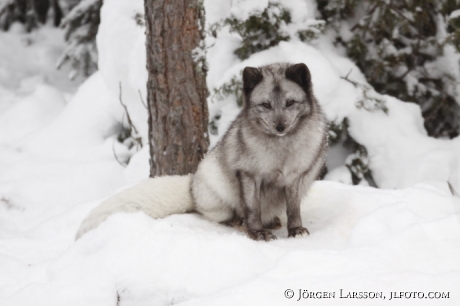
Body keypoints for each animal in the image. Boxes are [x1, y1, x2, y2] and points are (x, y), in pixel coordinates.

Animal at [76, 63, 328, 241]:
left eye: (290, 103)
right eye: (266, 105)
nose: (280, 127)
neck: (282, 151)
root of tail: (192, 185)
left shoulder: (295, 177)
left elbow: (294, 209)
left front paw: (295, 229)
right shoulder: (248, 175)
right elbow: (252, 209)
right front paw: (256, 233)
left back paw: (273, 221)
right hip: (219, 190)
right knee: (228, 217)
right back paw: (242, 223)